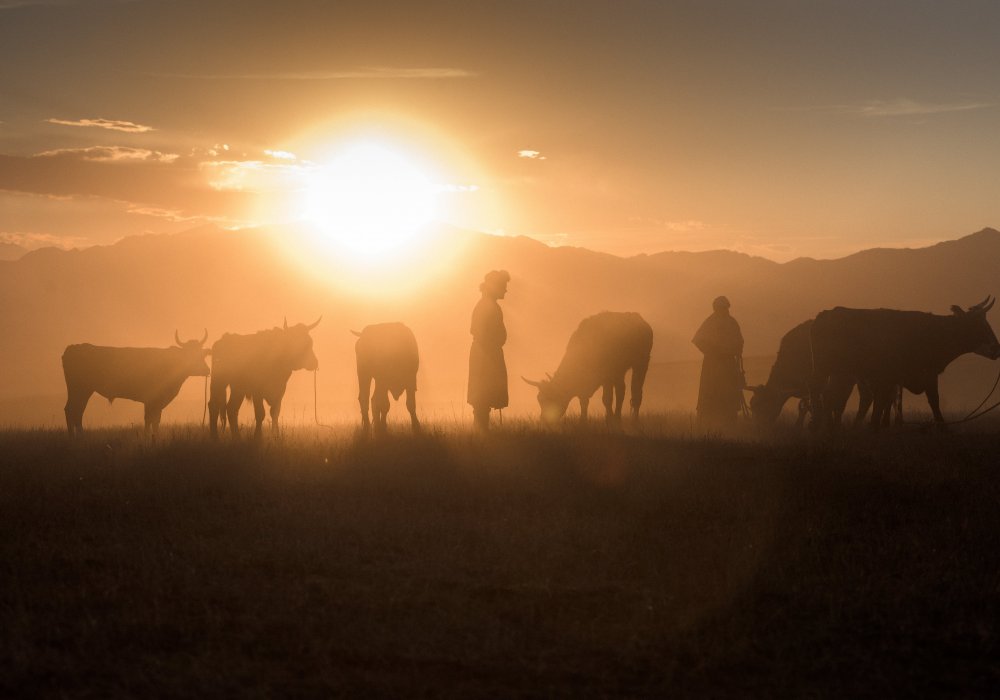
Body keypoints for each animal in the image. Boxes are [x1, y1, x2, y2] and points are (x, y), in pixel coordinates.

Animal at [61, 330, 210, 438]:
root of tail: (73, 347)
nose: (207, 370)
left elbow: (156, 419)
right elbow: (149, 419)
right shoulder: (151, 400)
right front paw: (149, 436)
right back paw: (75, 436)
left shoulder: (157, 402)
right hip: (80, 389)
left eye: (201, 354)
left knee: (75, 410)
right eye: (190, 355)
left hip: (81, 390)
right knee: (73, 410)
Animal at [520, 310, 652, 422]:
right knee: (621, 391)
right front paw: (583, 421)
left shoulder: (606, 376)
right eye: (539, 399)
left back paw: (633, 420)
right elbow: (584, 401)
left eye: (552, 397)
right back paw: (618, 417)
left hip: (641, 363)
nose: (544, 420)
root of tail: (640, 320)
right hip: (619, 372)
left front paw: (609, 421)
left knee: (635, 392)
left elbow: (606, 399)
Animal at [804, 298, 1000, 430]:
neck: (935, 332)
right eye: (979, 324)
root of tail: (825, 314)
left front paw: (877, 425)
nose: (997, 348)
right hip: (823, 369)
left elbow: (883, 401)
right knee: (819, 392)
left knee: (830, 396)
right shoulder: (926, 373)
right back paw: (817, 425)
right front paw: (942, 426)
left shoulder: (892, 378)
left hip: (840, 373)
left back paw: (829, 426)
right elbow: (933, 400)